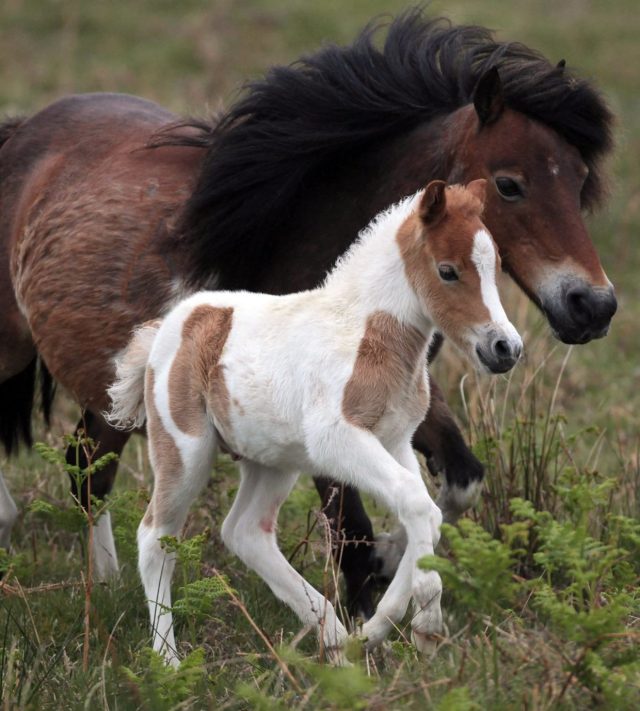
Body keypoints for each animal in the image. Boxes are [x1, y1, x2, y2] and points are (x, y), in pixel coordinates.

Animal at [106, 180, 523, 664]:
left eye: (495, 267)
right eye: (448, 271)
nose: (505, 348)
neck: (367, 335)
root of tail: (170, 325)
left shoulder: (396, 441)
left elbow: (427, 513)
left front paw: (387, 628)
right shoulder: (337, 440)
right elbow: (418, 506)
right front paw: (415, 624)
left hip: (274, 461)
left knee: (245, 531)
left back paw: (336, 638)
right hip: (185, 449)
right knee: (155, 537)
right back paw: (171, 663)